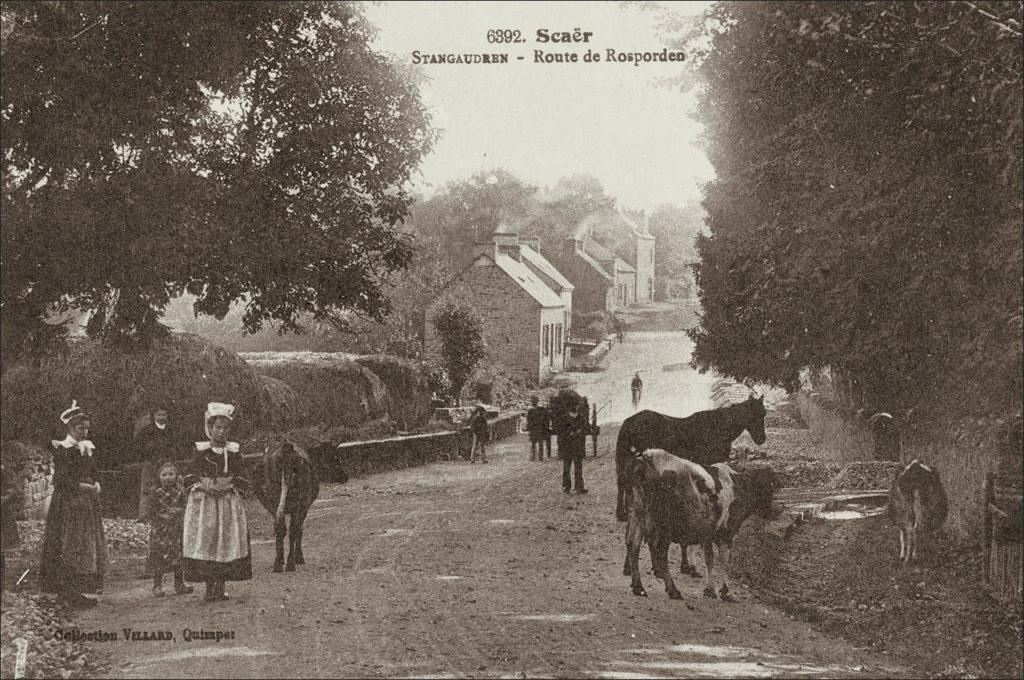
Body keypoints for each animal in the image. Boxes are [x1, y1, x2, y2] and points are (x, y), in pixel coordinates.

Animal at [610, 393, 765, 520]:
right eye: (756, 415)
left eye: (763, 414)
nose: (761, 439)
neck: (717, 427)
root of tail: (630, 421)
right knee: (624, 481)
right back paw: (624, 513)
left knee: (624, 481)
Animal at [622, 450, 774, 602]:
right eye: (770, 488)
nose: (770, 512)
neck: (737, 485)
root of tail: (647, 457)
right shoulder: (727, 533)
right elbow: (723, 561)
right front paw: (724, 591)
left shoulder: (707, 534)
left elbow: (709, 559)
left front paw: (710, 589)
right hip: (663, 526)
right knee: (659, 551)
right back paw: (673, 590)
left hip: (637, 515)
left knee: (633, 545)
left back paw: (639, 587)